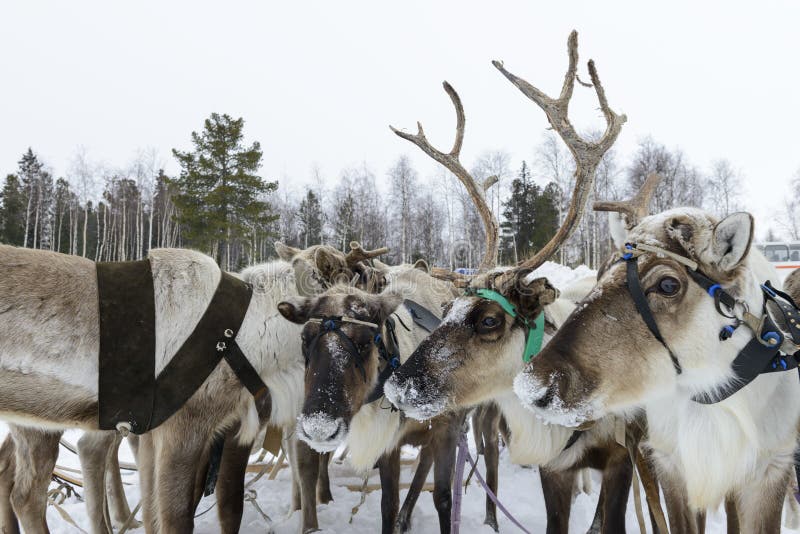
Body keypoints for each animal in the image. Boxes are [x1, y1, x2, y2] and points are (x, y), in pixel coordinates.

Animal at [513, 196, 800, 530]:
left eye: (668, 285)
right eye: (601, 273)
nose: (532, 385)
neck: (709, 397)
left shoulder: (771, 468)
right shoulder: (670, 464)